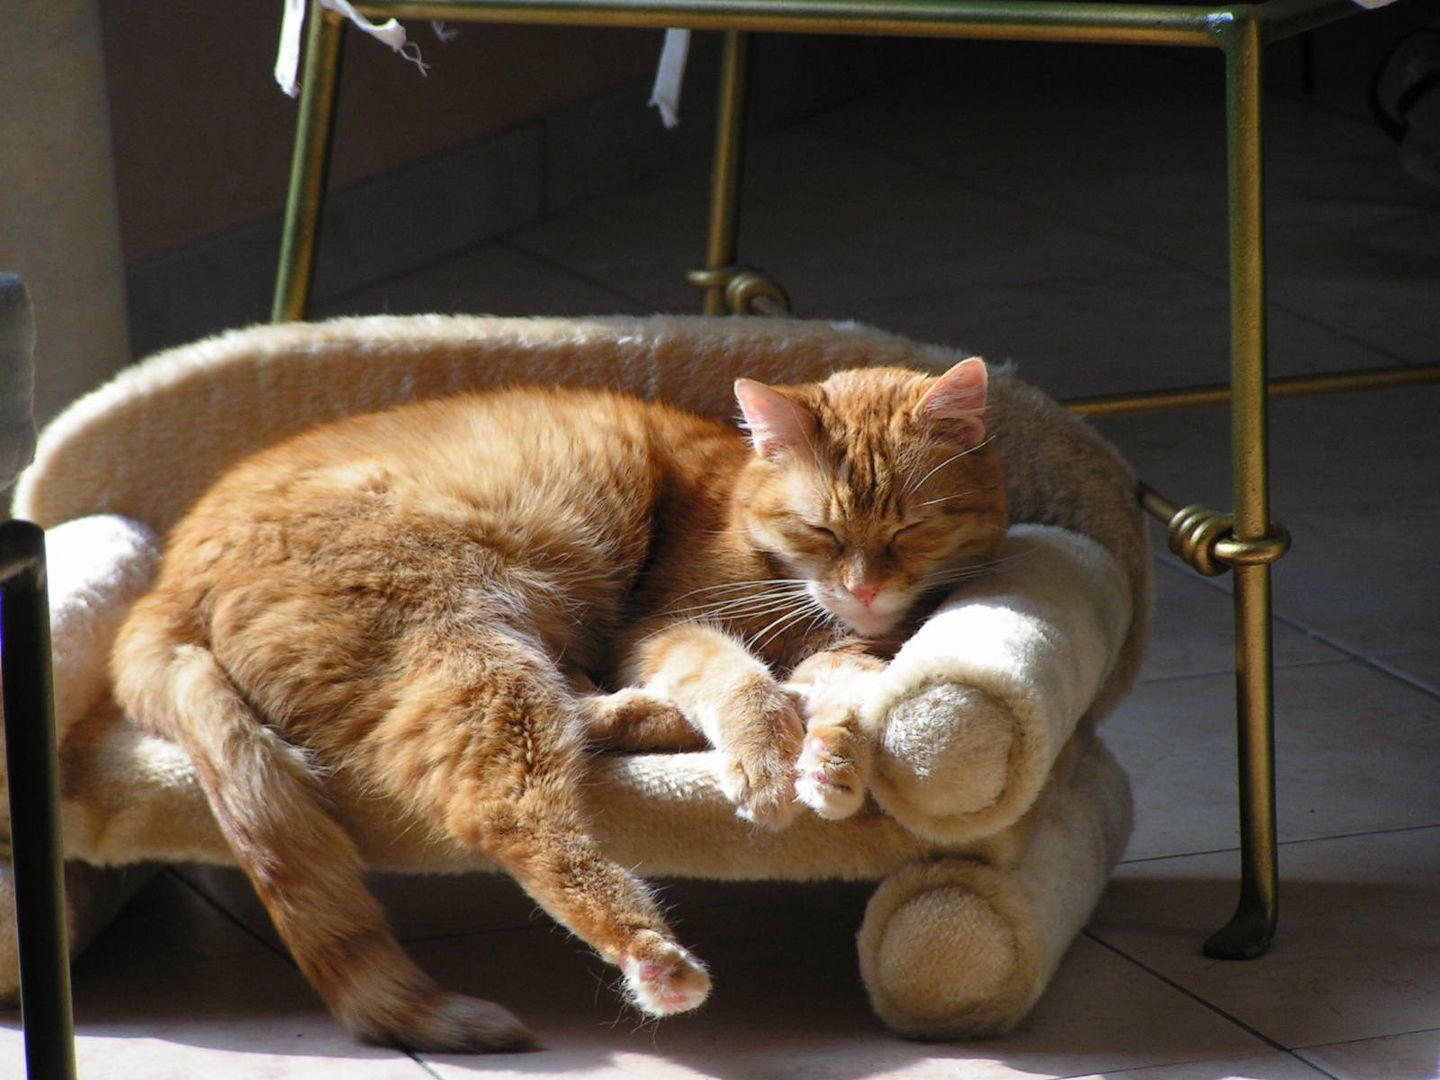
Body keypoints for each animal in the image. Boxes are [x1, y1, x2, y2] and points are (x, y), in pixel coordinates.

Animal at [109, 360, 1002, 1054]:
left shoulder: (852, 655)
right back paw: (651, 955)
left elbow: (849, 695)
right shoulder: (664, 629)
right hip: (474, 650)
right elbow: (736, 680)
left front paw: (830, 763)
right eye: (822, 531)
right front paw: (767, 757)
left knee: (590, 720)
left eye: (914, 528)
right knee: (512, 812)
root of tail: (167, 580)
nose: (866, 588)